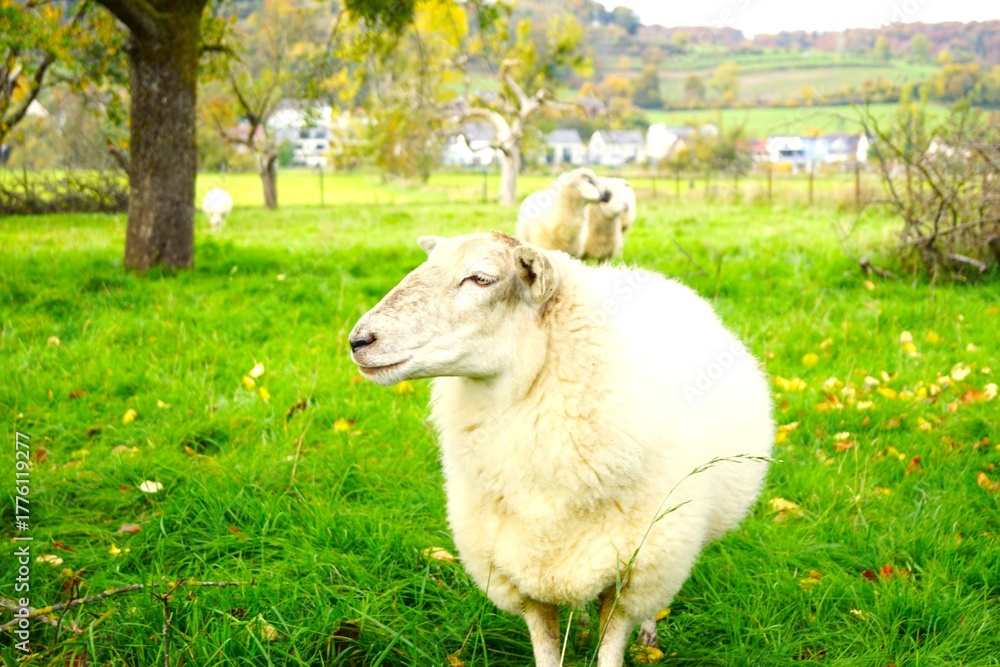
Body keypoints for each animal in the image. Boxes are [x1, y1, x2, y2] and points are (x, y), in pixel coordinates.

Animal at [348, 232, 773, 667]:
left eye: (481, 278)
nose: (358, 340)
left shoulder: (632, 576)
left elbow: (611, 649)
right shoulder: (520, 575)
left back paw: (648, 639)